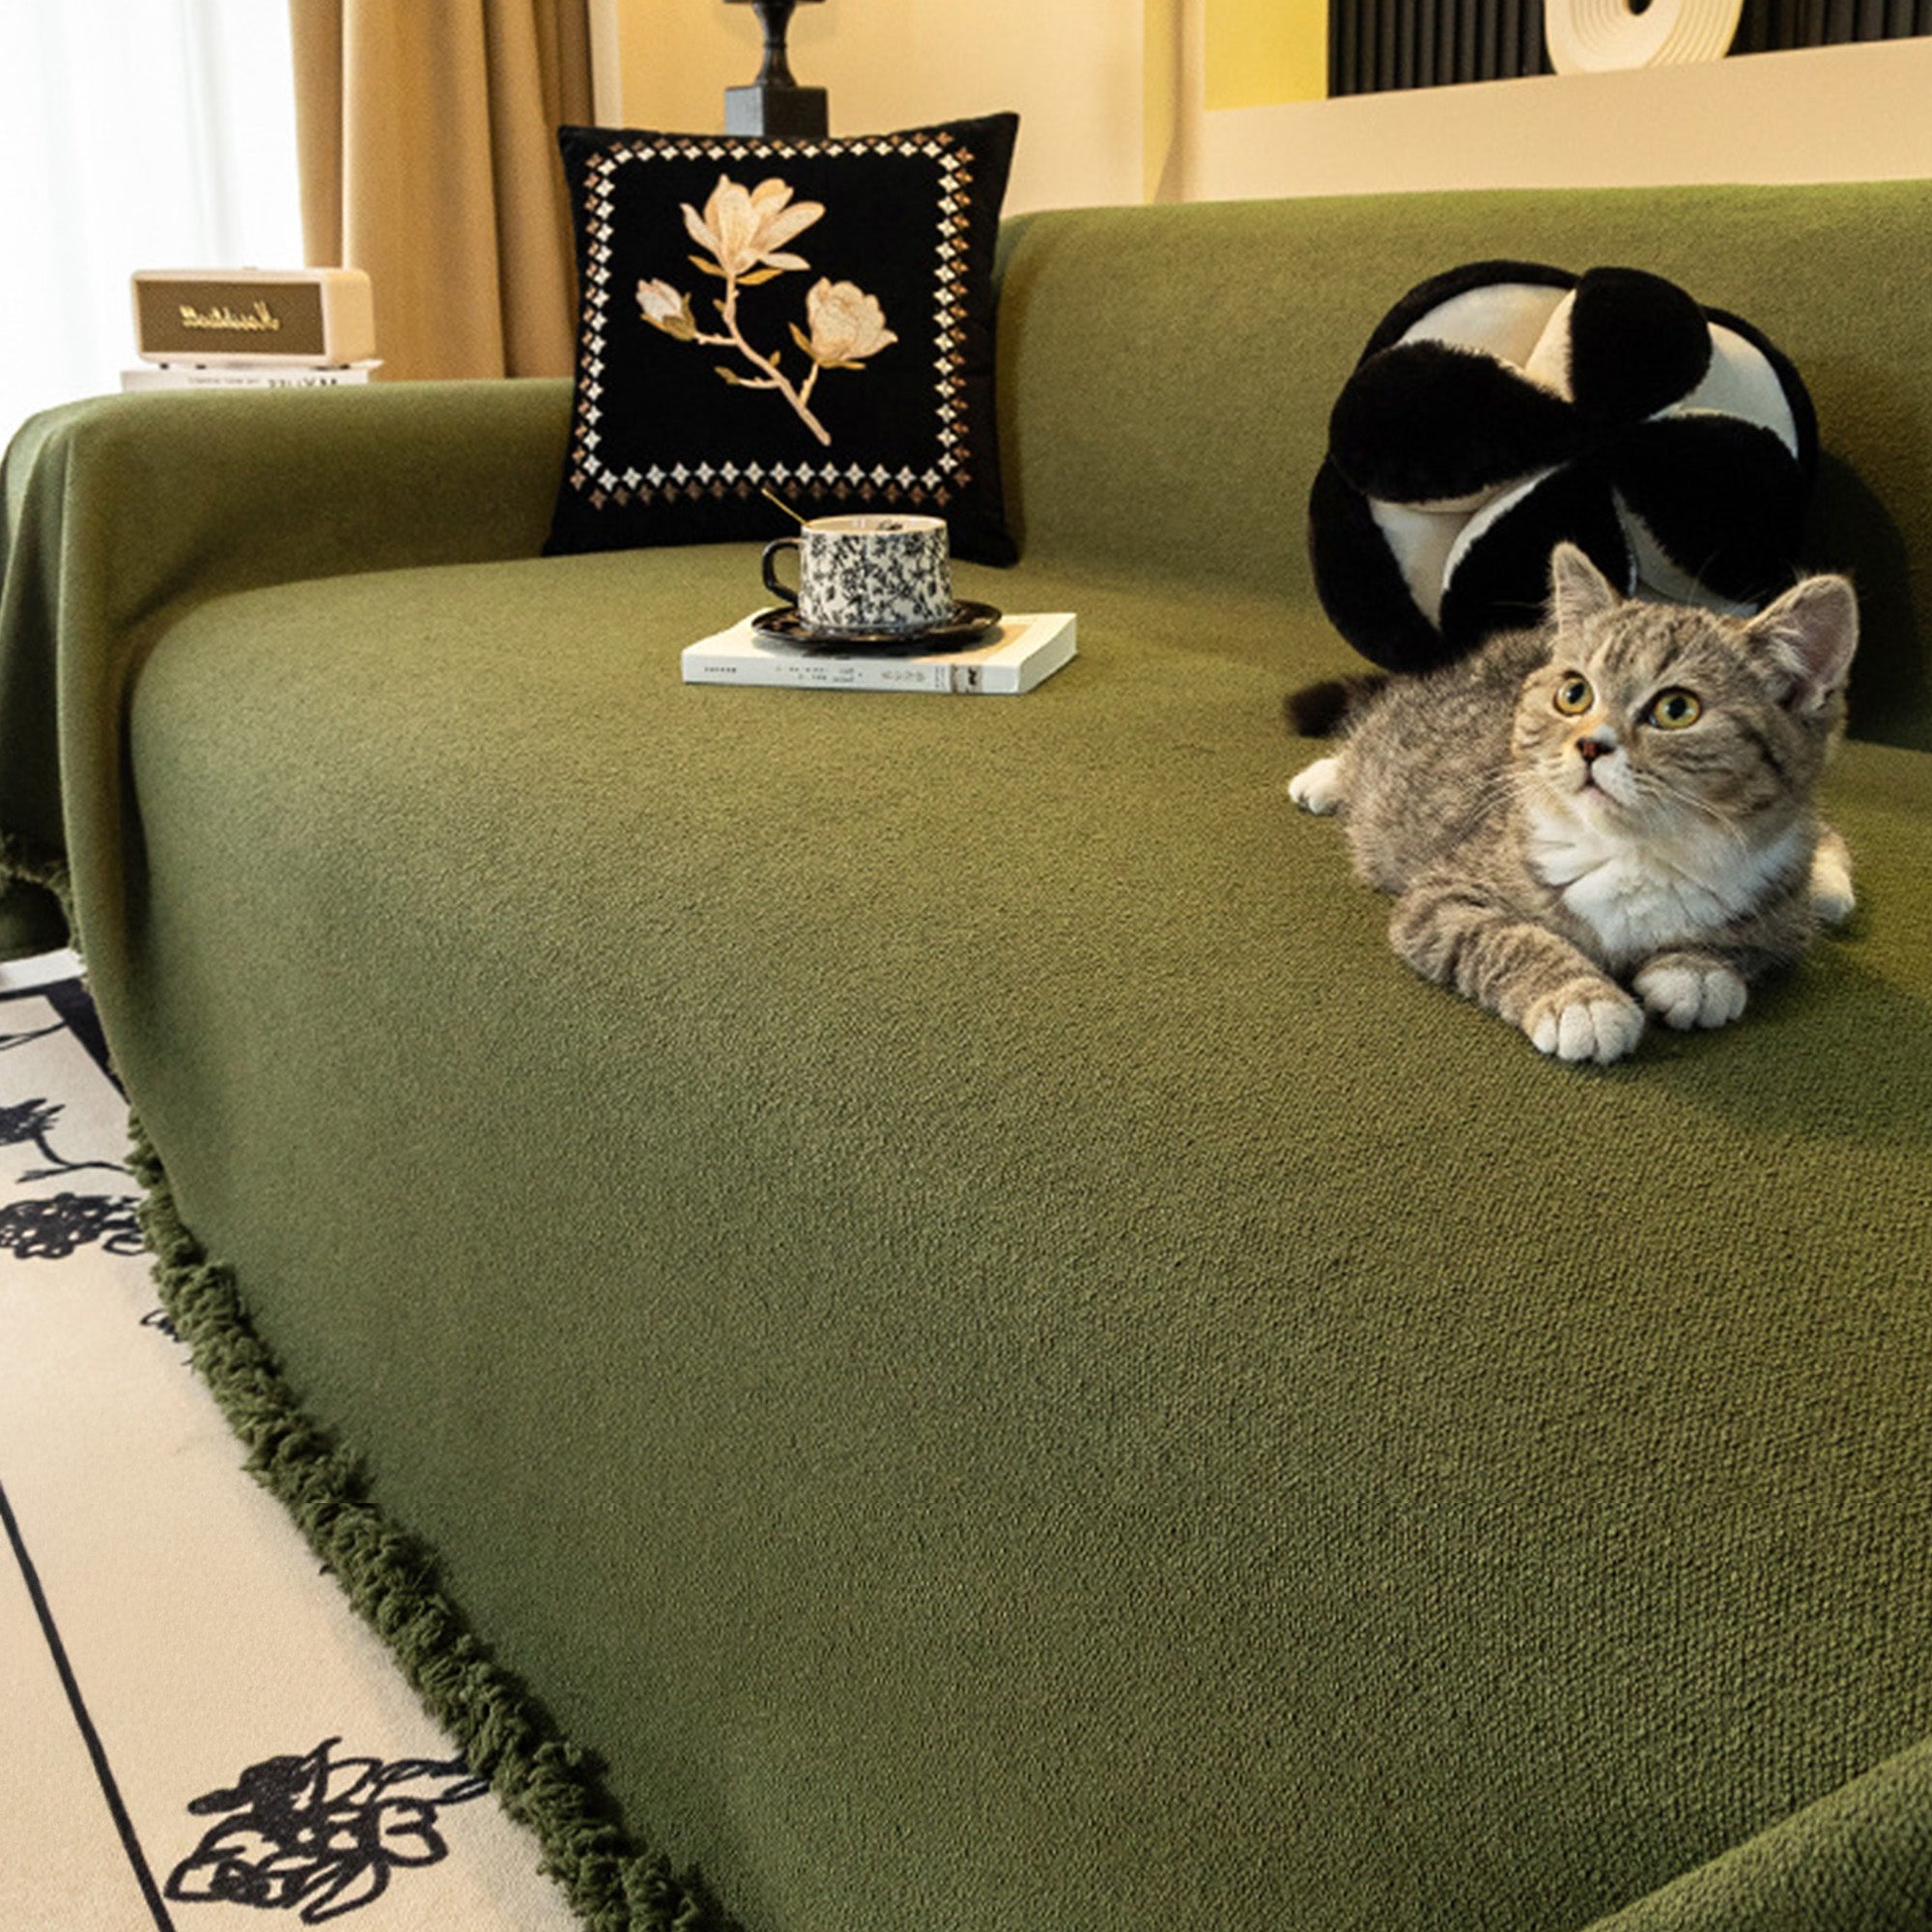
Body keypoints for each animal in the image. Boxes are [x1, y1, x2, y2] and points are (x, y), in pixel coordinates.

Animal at [1287, 542, 1859, 1064]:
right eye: (1573, 694)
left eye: (1677, 709)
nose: (1590, 745)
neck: (1635, 854)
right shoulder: (1441, 895)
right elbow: (1506, 936)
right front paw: (1580, 1000)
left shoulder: (1779, 900)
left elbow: (1760, 937)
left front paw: (1698, 969)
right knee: (1373, 736)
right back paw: (1326, 777)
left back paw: (1828, 885)